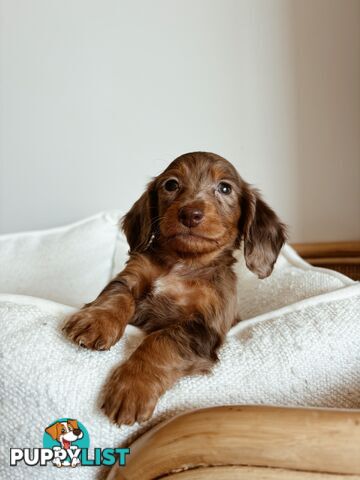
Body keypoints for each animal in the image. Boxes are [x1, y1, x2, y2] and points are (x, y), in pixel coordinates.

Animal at [62, 152, 286, 426]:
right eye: (171, 184)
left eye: (225, 188)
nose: (190, 213)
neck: (183, 263)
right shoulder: (133, 275)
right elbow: (119, 295)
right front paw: (97, 321)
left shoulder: (203, 326)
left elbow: (161, 341)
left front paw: (132, 387)